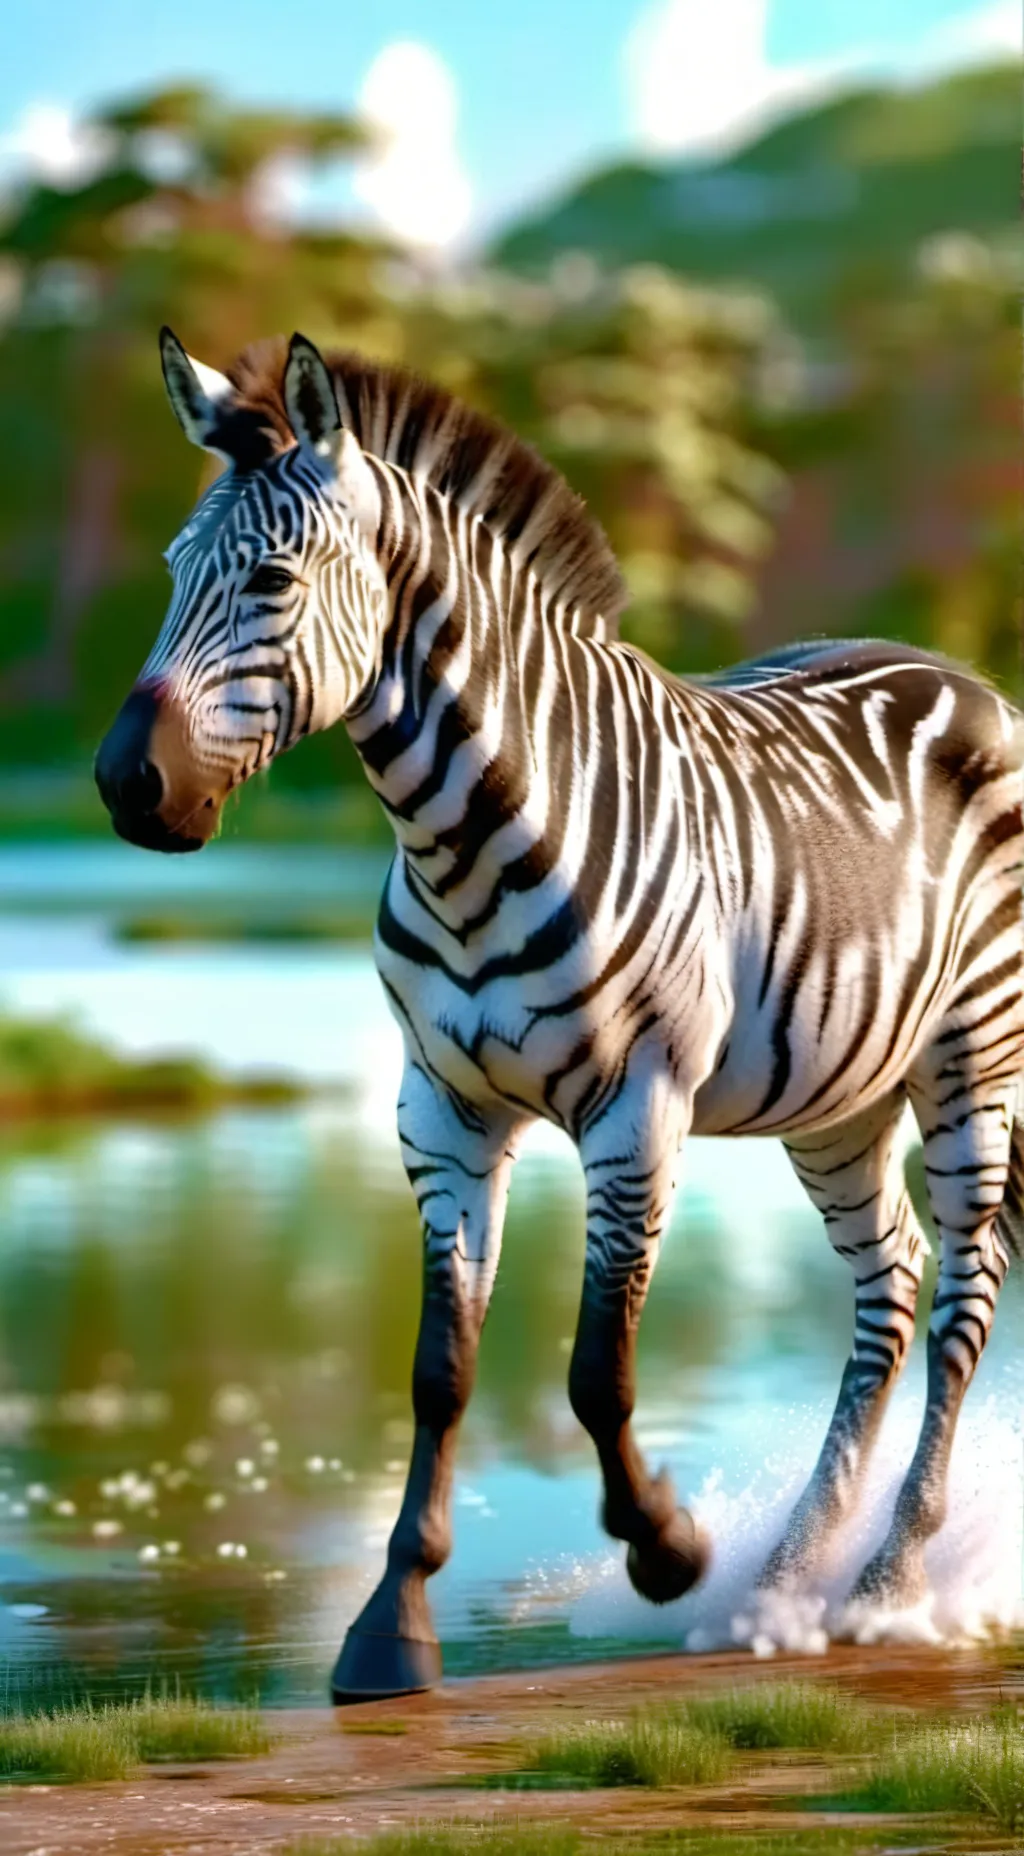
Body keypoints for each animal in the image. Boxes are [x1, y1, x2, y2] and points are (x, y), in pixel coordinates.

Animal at [95, 328, 1024, 1702]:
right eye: (170, 573)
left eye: (270, 576)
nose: (123, 783)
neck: (460, 842)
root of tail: (962, 676)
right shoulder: (439, 1111)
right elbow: (439, 1369)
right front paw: (389, 1623)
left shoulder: (636, 1110)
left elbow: (595, 1368)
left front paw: (669, 1547)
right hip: (836, 1097)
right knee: (892, 1280)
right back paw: (790, 1574)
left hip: (972, 1057)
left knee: (964, 1284)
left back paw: (883, 1580)